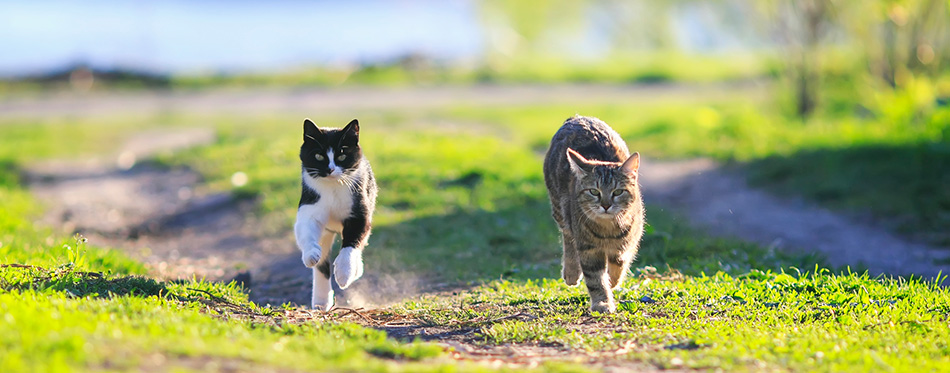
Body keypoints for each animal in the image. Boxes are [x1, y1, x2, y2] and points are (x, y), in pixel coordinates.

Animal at [296, 117, 378, 310]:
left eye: (342, 155)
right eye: (319, 156)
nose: (330, 169)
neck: (333, 187)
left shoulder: (359, 213)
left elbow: (351, 243)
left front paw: (344, 273)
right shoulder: (310, 204)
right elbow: (305, 230)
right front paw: (310, 254)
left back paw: (355, 270)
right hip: (325, 233)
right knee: (322, 265)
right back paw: (320, 302)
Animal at [544, 115, 648, 312]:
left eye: (617, 192)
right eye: (594, 191)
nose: (606, 205)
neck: (608, 229)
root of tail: (577, 117)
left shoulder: (630, 239)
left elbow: (619, 261)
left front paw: (613, 280)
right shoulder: (589, 249)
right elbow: (595, 279)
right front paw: (602, 302)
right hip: (560, 209)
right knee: (568, 238)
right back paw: (571, 272)